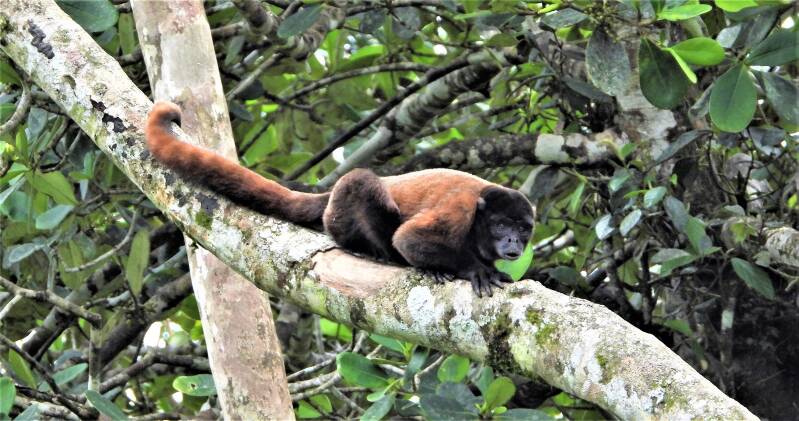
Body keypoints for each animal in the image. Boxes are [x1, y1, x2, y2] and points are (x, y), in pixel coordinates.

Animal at [145, 101, 534, 297]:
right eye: (502, 225)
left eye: (523, 229)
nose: (513, 242)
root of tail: (329, 197)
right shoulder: (459, 210)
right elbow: (411, 239)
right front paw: (475, 269)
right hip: (342, 213)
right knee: (364, 183)